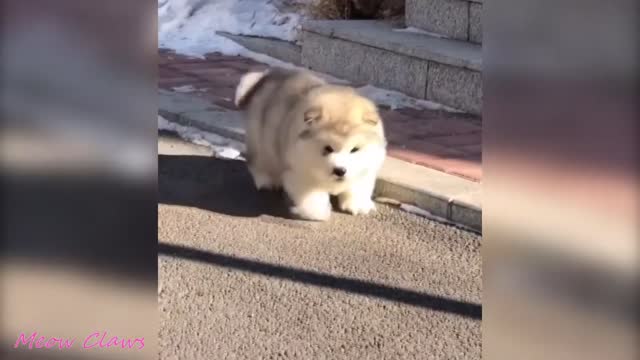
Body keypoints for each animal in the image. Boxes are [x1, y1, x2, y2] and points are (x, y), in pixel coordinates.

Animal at [235, 67, 384, 219]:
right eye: (328, 148)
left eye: (354, 150)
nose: (340, 170)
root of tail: (265, 77)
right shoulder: (301, 173)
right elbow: (312, 197)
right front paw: (318, 213)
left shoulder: (366, 168)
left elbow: (358, 187)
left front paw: (359, 206)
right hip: (261, 143)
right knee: (259, 163)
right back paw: (267, 182)